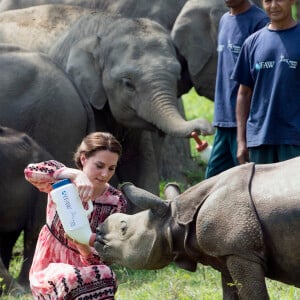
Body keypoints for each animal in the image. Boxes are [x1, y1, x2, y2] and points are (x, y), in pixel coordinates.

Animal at [95, 158, 300, 298]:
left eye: (123, 229)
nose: (97, 232)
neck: (175, 220)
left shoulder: (242, 251)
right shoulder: (226, 252)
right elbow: (230, 292)